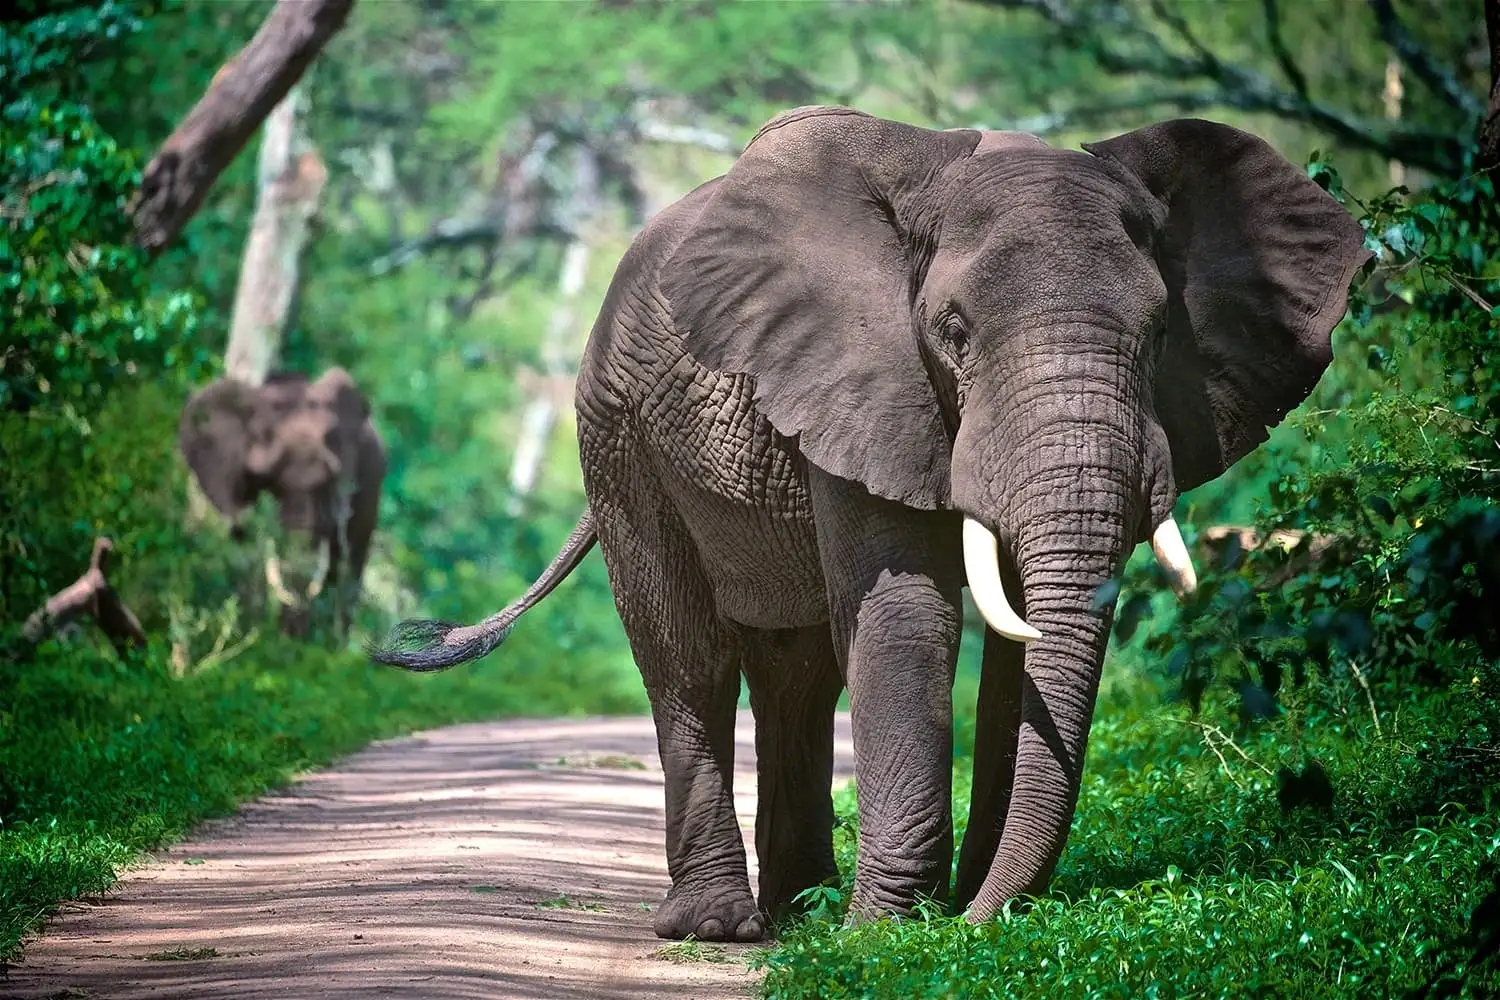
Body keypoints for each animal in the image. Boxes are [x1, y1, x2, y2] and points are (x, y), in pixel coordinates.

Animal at [373, 106, 1370, 940]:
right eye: (954, 332)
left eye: (1162, 332)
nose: (981, 922)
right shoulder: (859, 379)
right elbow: (906, 618)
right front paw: (889, 937)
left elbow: (1008, 647)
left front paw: (928, 918)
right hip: (617, 433)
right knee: (689, 658)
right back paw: (722, 926)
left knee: (797, 671)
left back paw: (801, 912)